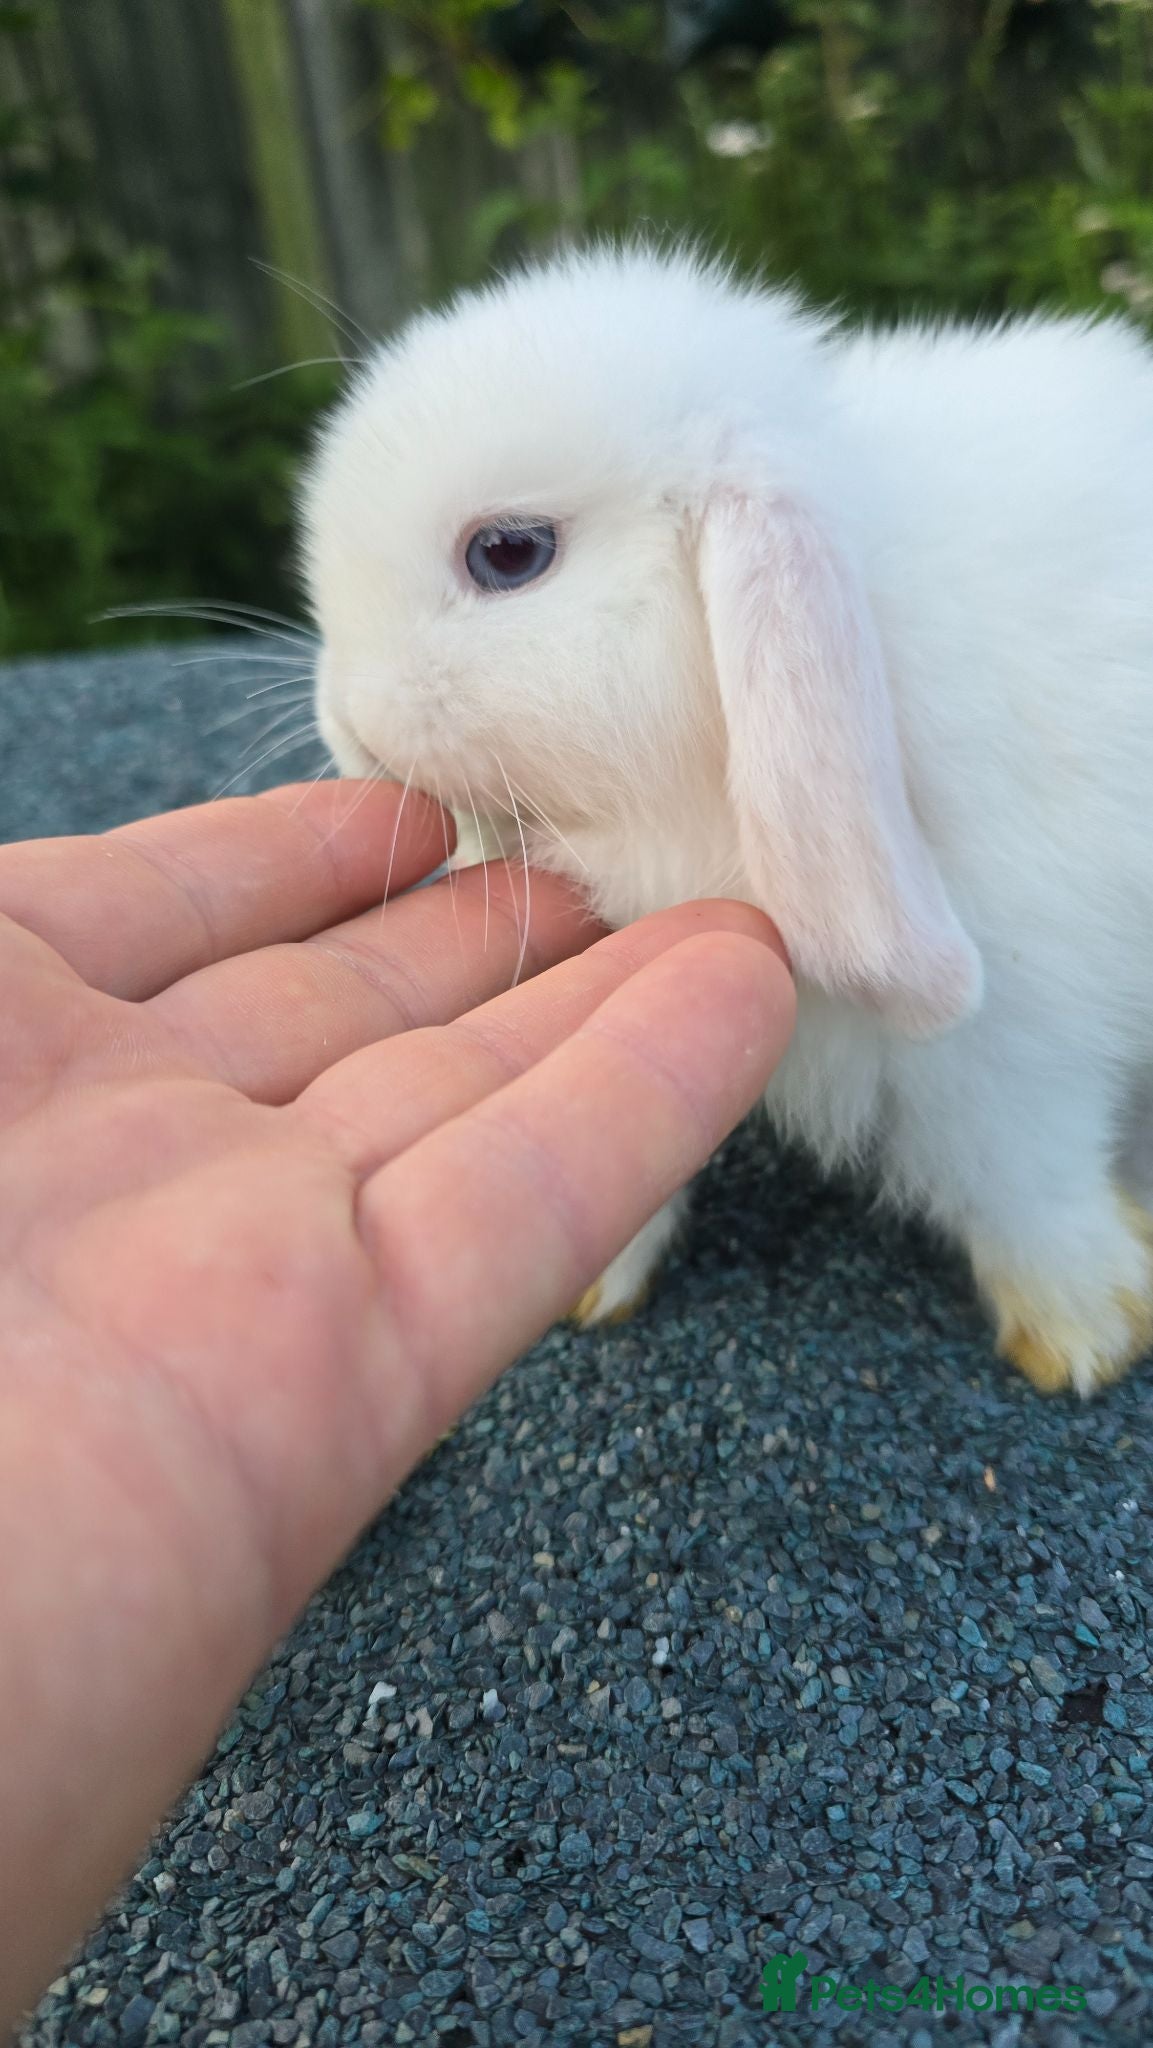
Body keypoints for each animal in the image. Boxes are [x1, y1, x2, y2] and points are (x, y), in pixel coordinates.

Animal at [300, 241, 1153, 1397]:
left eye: (510, 552)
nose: (347, 721)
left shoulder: (1015, 1040)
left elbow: (1019, 1173)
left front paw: (1086, 1330)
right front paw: (594, 1280)